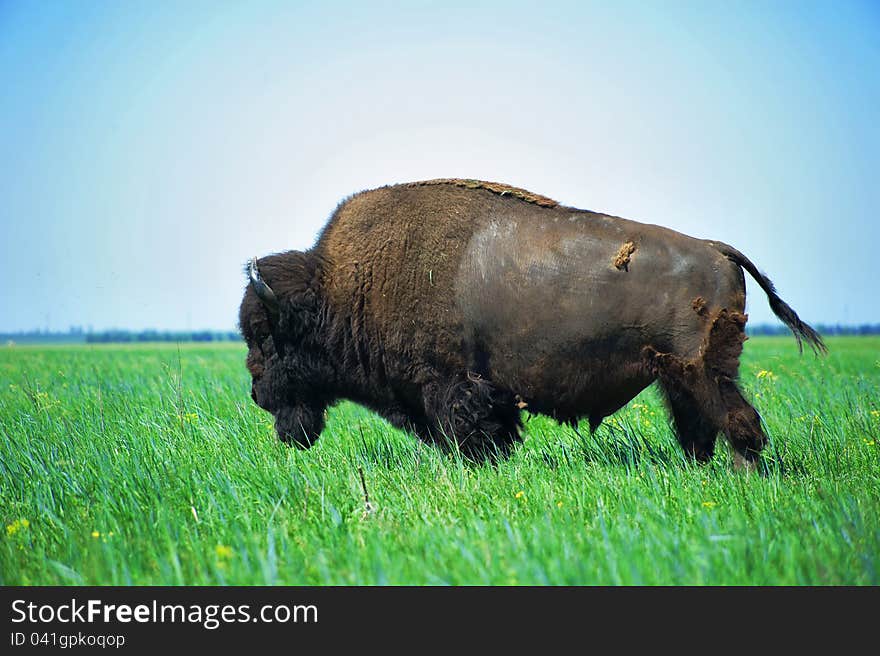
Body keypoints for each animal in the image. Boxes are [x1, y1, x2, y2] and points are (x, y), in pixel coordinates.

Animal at [235, 178, 824, 466]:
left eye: (266, 335)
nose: (257, 393)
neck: (341, 287)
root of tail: (716, 249)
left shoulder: (452, 386)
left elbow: (472, 435)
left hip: (704, 372)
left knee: (738, 423)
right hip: (679, 377)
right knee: (701, 427)